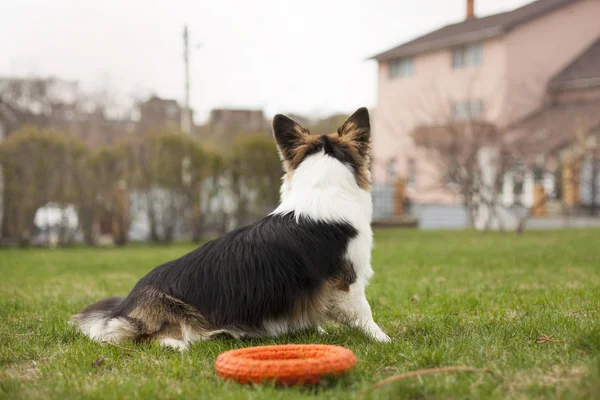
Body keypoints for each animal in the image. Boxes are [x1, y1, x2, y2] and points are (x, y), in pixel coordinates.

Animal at [71, 107, 390, 350]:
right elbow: (365, 315)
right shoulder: (347, 285)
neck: (322, 189)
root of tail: (122, 308)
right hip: (176, 318)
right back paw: (183, 343)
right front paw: (384, 340)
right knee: (153, 338)